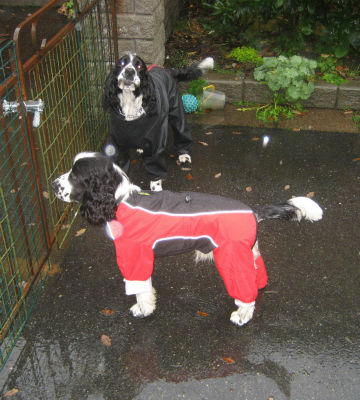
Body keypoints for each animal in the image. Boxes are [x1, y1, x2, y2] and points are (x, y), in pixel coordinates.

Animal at [50, 152, 324, 326]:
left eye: (75, 175)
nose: (52, 185)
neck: (120, 200)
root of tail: (253, 211)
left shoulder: (135, 256)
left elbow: (142, 290)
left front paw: (143, 310)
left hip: (231, 257)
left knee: (244, 291)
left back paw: (242, 316)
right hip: (248, 251)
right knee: (257, 272)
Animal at [101, 52, 214, 192]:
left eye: (139, 66)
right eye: (121, 63)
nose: (129, 71)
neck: (130, 106)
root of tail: (166, 69)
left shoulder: (156, 143)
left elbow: (156, 172)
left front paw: (157, 189)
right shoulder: (117, 144)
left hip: (176, 110)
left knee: (181, 130)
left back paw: (184, 154)